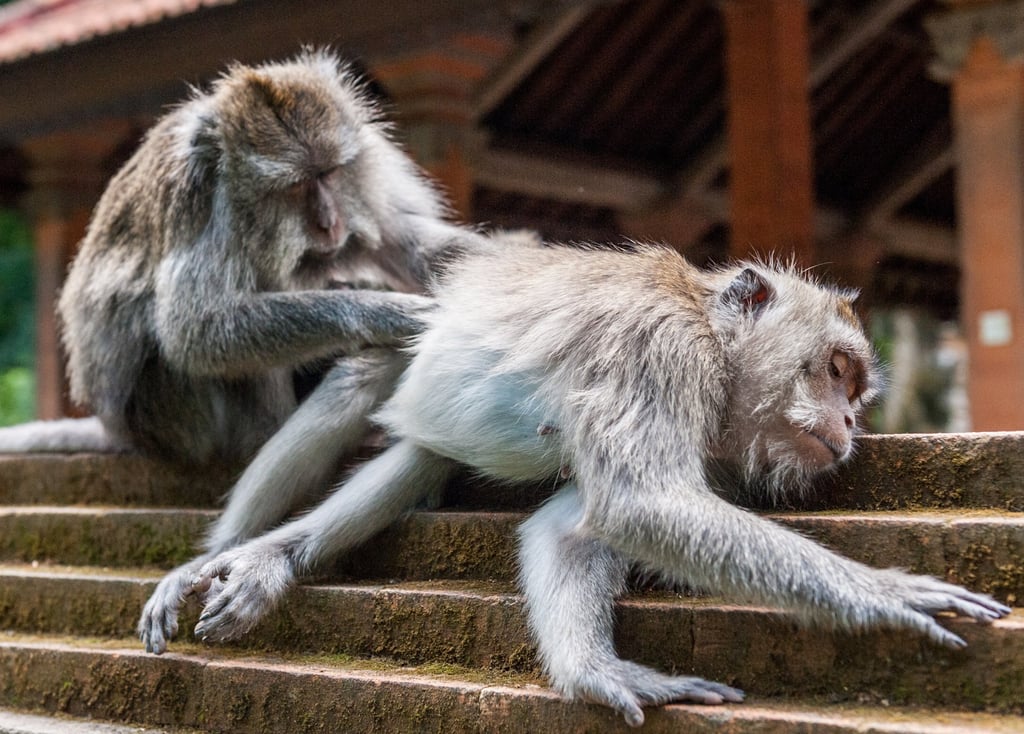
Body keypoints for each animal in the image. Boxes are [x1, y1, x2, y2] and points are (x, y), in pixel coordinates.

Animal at [159, 242, 1009, 725]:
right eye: (834, 369)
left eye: (855, 388)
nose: (851, 425)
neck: (715, 348)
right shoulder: (655, 349)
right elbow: (637, 504)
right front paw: (888, 593)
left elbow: (572, 526)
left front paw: (595, 675)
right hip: (411, 335)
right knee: (360, 375)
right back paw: (219, 554)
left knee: (421, 458)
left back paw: (276, 558)